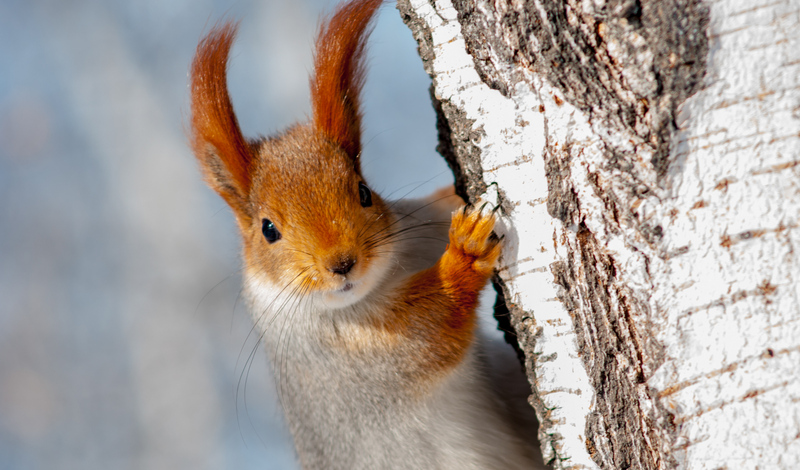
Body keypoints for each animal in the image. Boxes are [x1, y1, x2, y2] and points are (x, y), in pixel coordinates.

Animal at [188, 0, 540, 470]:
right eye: (268, 230)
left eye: (363, 191)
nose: (342, 263)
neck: (383, 281)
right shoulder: (356, 362)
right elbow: (436, 331)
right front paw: (464, 253)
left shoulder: (418, 227)